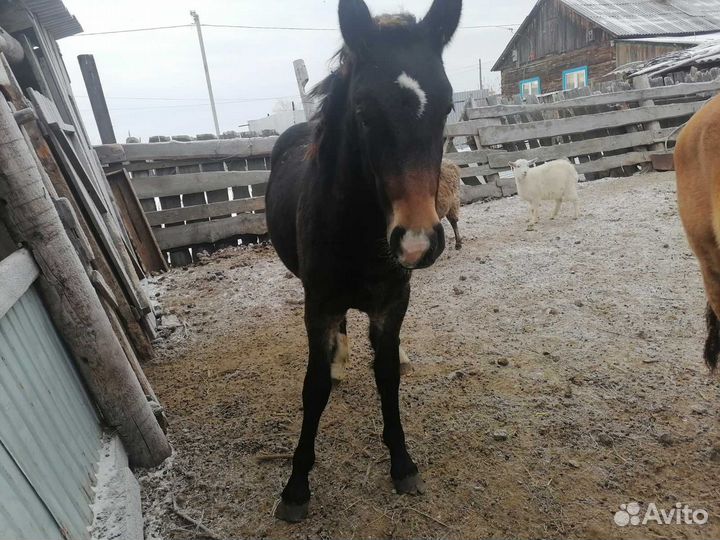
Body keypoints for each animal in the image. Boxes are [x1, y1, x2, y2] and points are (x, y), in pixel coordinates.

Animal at [265, 0, 462, 522]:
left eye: (447, 106)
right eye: (363, 112)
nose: (416, 242)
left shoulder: (391, 305)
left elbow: (387, 376)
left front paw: (403, 464)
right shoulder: (318, 306)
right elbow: (313, 389)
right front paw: (296, 488)